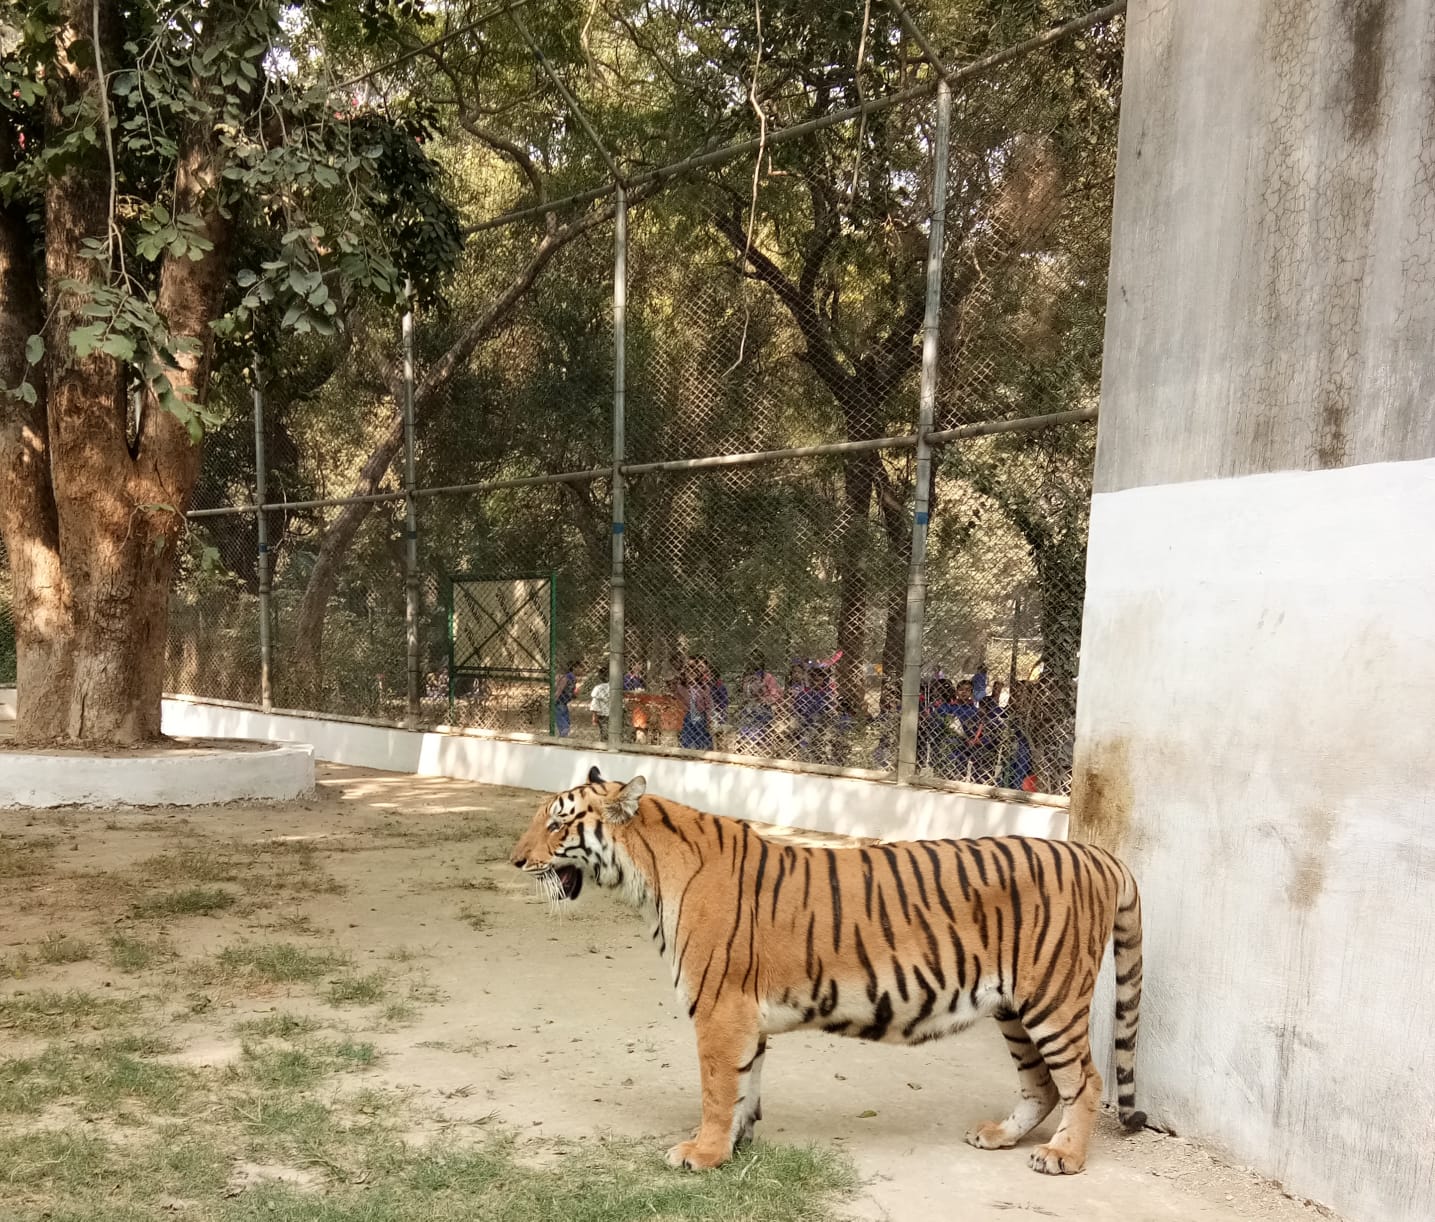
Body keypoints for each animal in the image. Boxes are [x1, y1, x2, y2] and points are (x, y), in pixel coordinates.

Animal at [507, 763, 1142, 1176]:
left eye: (558, 825)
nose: (514, 861)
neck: (648, 875)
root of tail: (1097, 855)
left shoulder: (719, 1009)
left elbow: (717, 1088)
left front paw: (702, 1154)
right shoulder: (743, 1018)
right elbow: (745, 1085)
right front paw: (734, 1145)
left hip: (1052, 1001)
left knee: (1085, 1080)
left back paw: (1063, 1157)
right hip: (1014, 1008)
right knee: (1041, 1083)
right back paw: (1001, 1135)